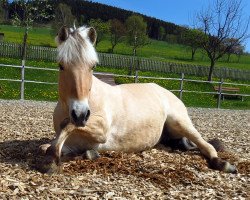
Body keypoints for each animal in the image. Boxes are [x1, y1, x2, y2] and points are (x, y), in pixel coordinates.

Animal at [39, 25, 236, 174]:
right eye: (61, 65)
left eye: (92, 66)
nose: (80, 114)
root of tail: (164, 90)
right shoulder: (71, 142)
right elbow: (48, 145)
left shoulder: (100, 131)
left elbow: (67, 126)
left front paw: (51, 162)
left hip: (181, 122)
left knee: (206, 146)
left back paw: (223, 164)